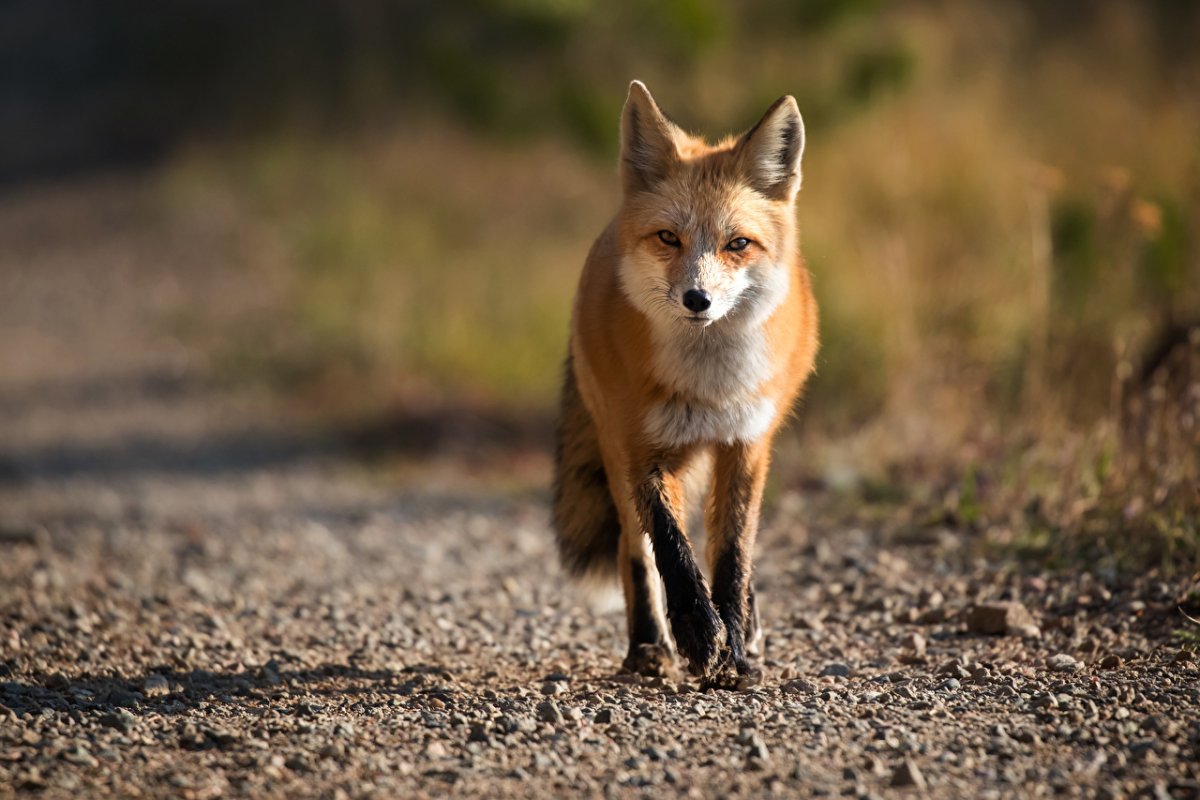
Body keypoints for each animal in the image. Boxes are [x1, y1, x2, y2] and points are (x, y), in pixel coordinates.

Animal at [552, 81, 819, 687]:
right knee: (634, 550)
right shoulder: (641, 448)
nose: (698, 300)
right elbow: (670, 549)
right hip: (614, 450)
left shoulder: (747, 444)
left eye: (737, 244)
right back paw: (649, 644)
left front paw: (735, 646)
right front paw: (698, 633)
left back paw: (748, 629)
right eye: (668, 238)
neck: (709, 386)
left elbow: (733, 554)